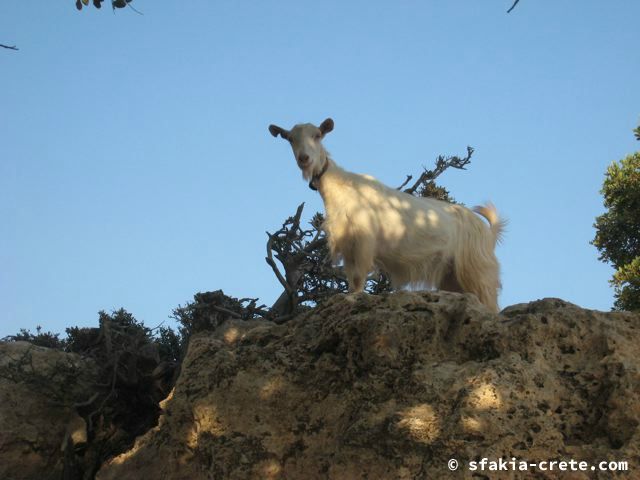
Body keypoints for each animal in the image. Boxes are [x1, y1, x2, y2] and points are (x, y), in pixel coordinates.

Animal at [268, 116, 502, 312]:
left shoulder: (363, 243)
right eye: (290, 139)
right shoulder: (348, 246)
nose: (304, 158)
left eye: (317, 135)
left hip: (478, 272)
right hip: (451, 274)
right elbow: (352, 279)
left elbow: (358, 279)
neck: (342, 187)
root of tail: (488, 231)